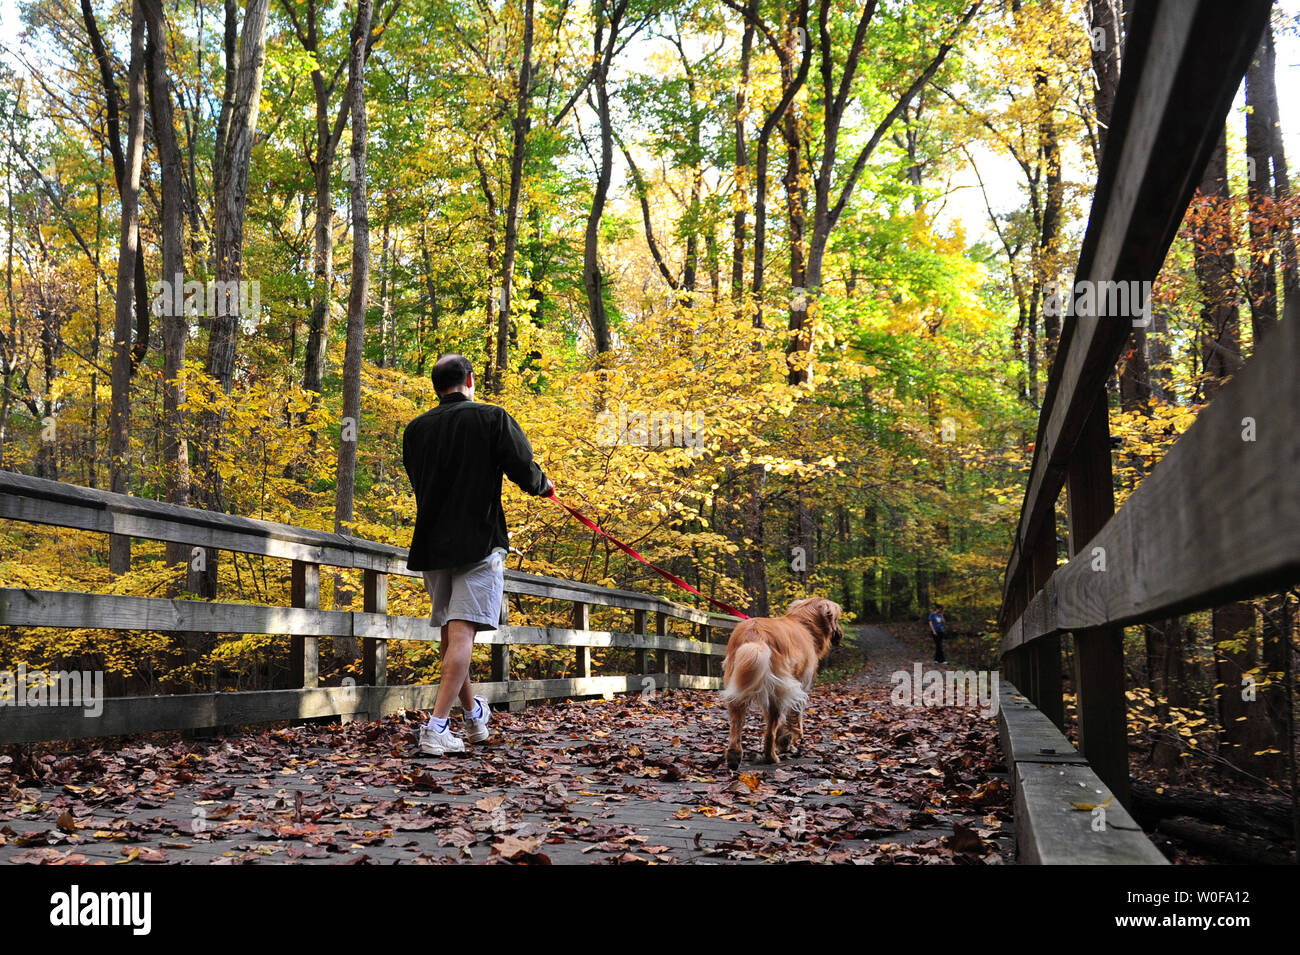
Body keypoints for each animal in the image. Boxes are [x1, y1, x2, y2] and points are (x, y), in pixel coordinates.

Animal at [722, 597, 842, 769]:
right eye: (837, 619)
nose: (840, 634)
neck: (804, 624)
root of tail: (754, 633)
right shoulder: (801, 684)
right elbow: (795, 716)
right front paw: (787, 739)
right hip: (777, 691)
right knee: (771, 728)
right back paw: (770, 756)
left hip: (738, 684)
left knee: (737, 719)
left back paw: (734, 755)